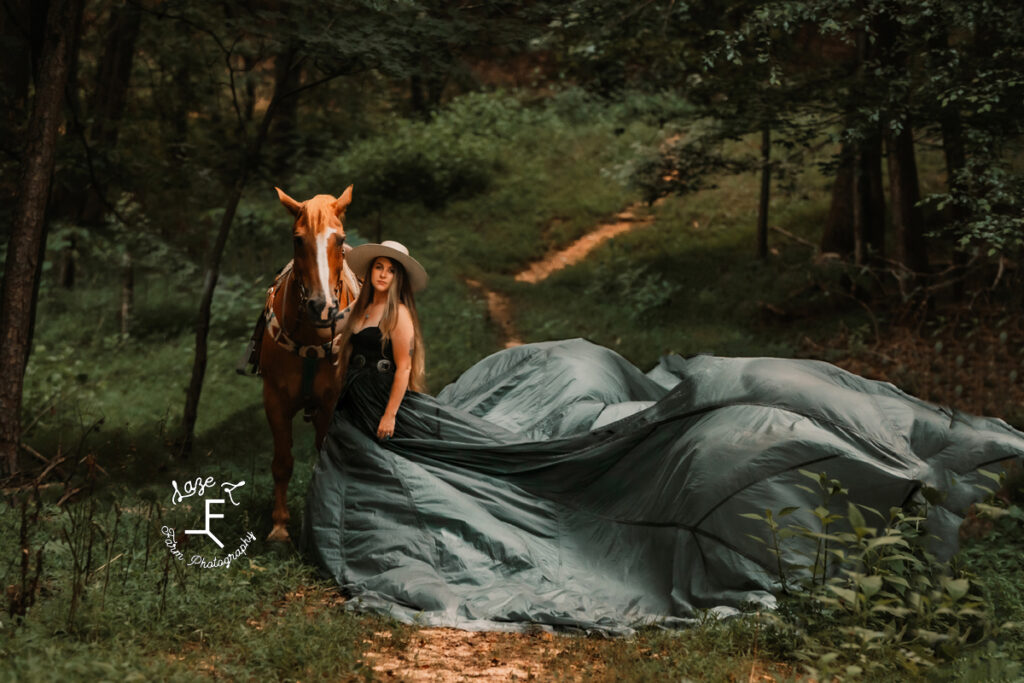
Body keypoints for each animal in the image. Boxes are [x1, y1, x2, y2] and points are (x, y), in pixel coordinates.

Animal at [258, 184, 362, 540]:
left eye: (340, 240)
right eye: (298, 240)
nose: (322, 305)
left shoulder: (330, 402)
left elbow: (323, 451)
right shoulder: (275, 400)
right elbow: (281, 462)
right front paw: (278, 526)